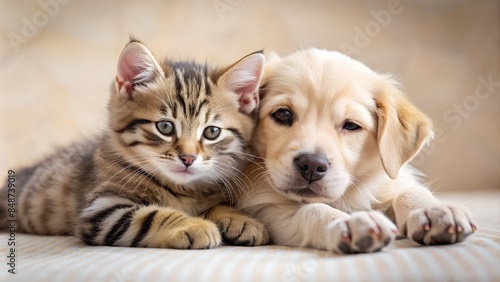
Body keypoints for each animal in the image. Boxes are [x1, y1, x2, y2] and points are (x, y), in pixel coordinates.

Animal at [0, 38, 270, 249]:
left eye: (212, 132)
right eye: (165, 127)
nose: (188, 158)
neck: (183, 189)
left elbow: (218, 204)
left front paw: (241, 219)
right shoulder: (102, 210)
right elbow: (151, 215)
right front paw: (194, 225)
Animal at [238, 48, 476, 253]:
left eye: (351, 125)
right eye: (283, 114)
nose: (312, 165)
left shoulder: (389, 182)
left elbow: (409, 190)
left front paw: (433, 211)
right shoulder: (270, 211)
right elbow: (312, 210)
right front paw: (349, 221)